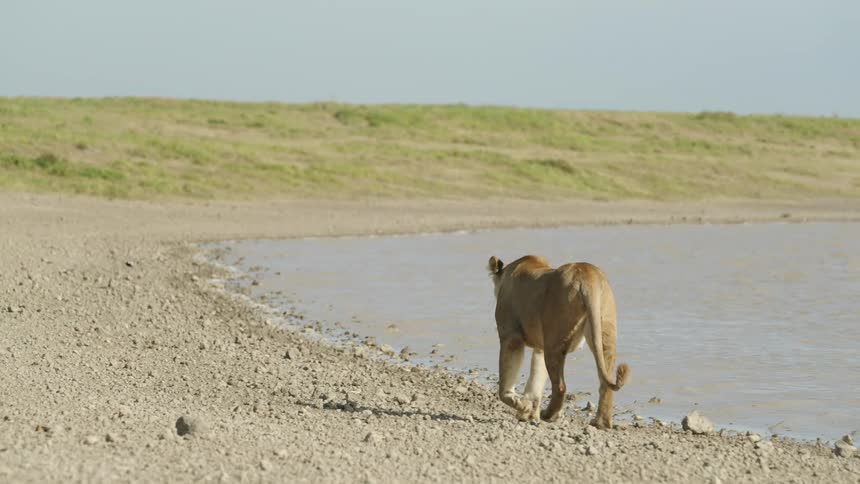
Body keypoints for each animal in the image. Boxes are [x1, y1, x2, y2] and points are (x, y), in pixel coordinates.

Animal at [487, 255, 629, 428]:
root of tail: (587, 276)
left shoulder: (510, 337)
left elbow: (505, 389)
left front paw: (524, 408)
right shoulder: (540, 347)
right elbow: (536, 381)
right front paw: (528, 413)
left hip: (554, 343)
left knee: (560, 386)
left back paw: (548, 415)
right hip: (603, 334)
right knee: (605, 384)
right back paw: (601, 423)